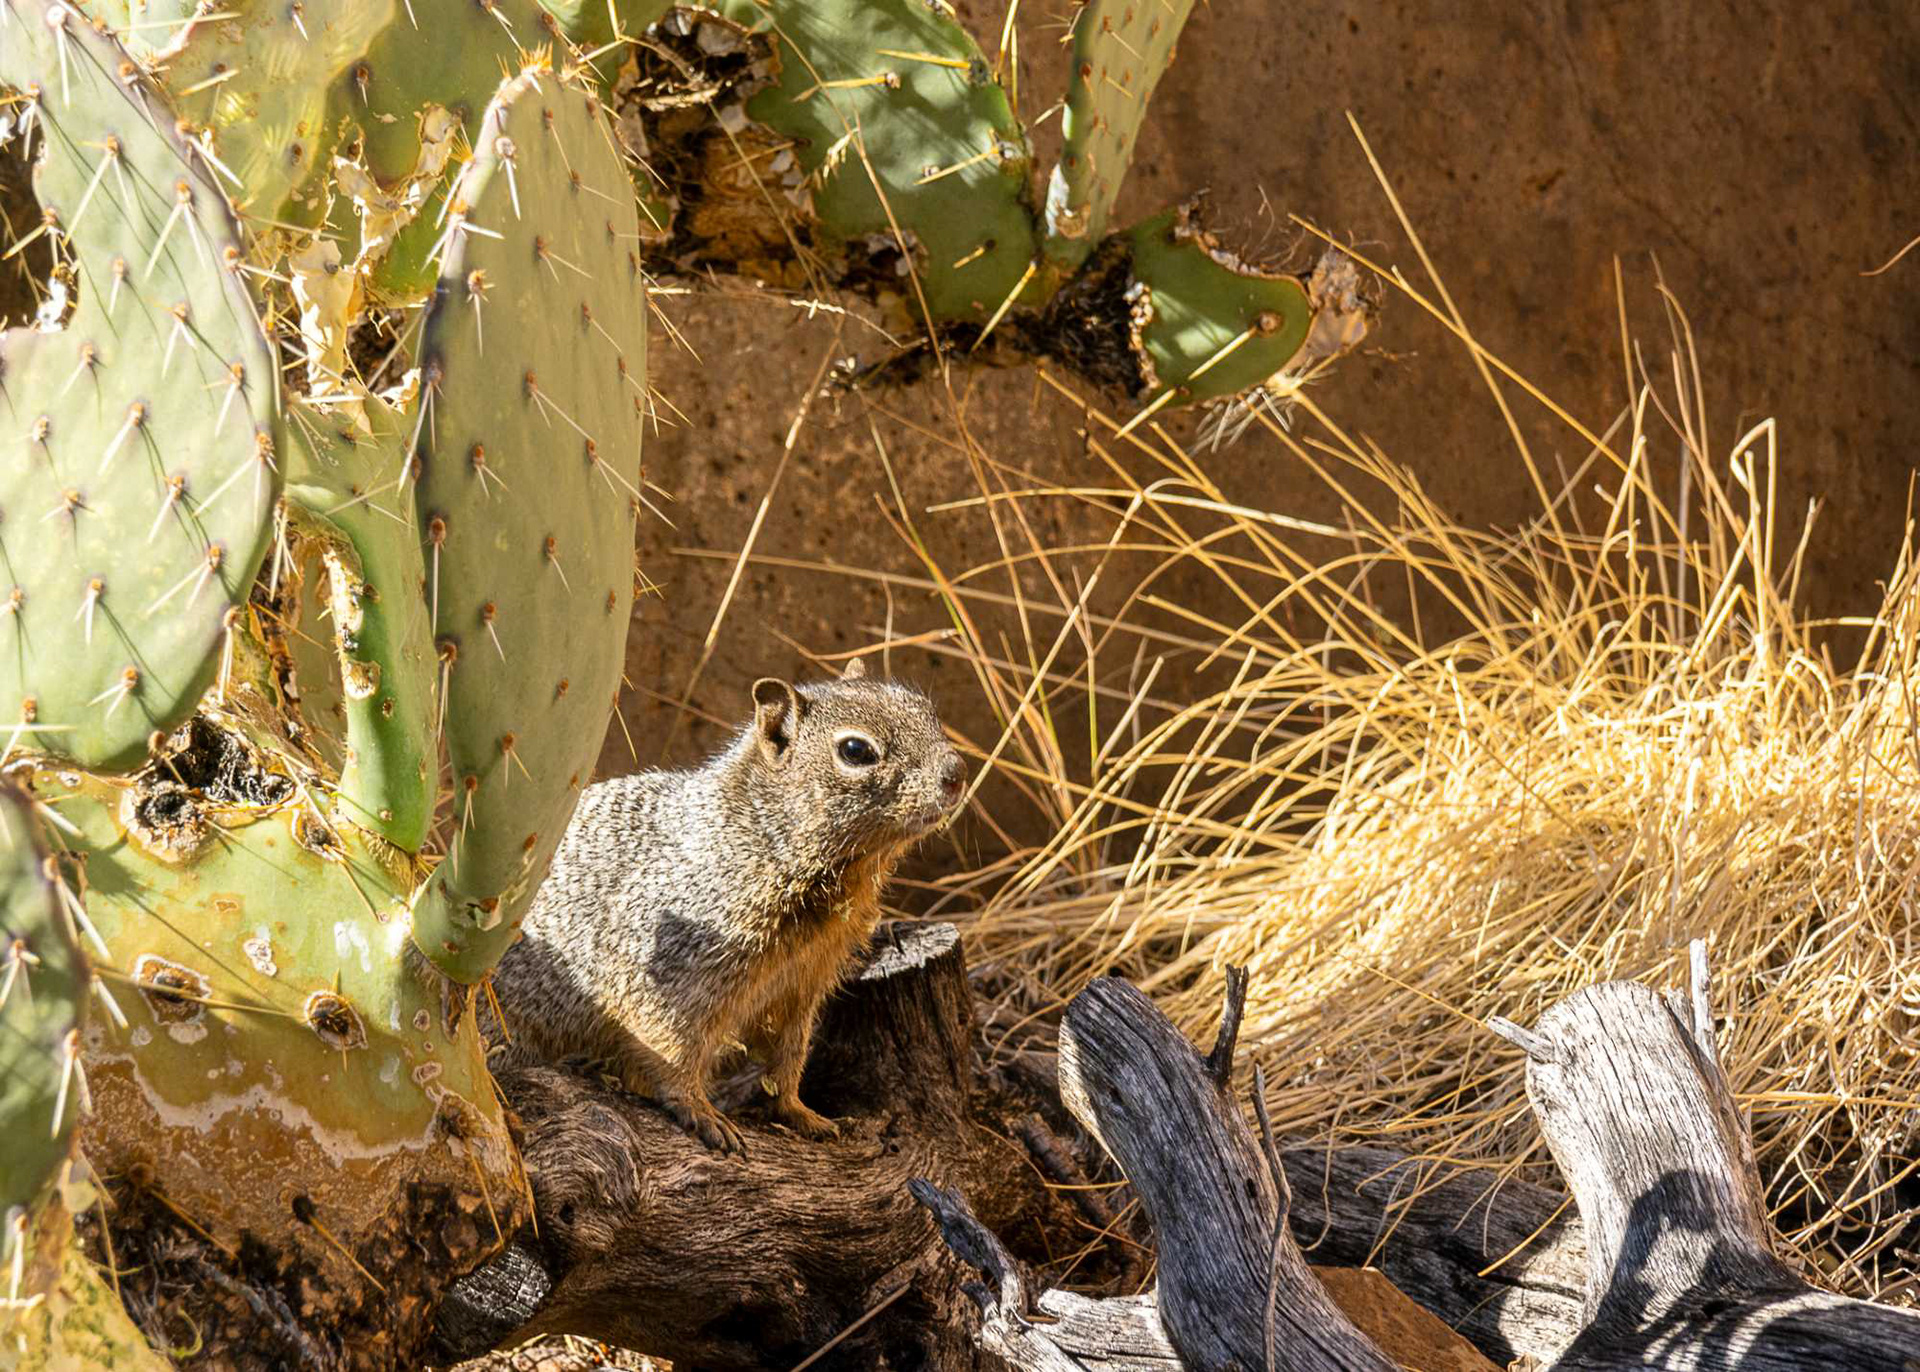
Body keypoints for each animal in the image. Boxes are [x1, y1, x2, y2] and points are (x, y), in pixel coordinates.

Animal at [484, 659, 967, 1153]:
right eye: (856, 750)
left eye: (925, 709)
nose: (957, 772)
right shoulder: (672, 970)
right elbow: (671, 1049)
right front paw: (702, 1112)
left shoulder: (804, 984)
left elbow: (789, 1054)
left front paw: (801, 1113)